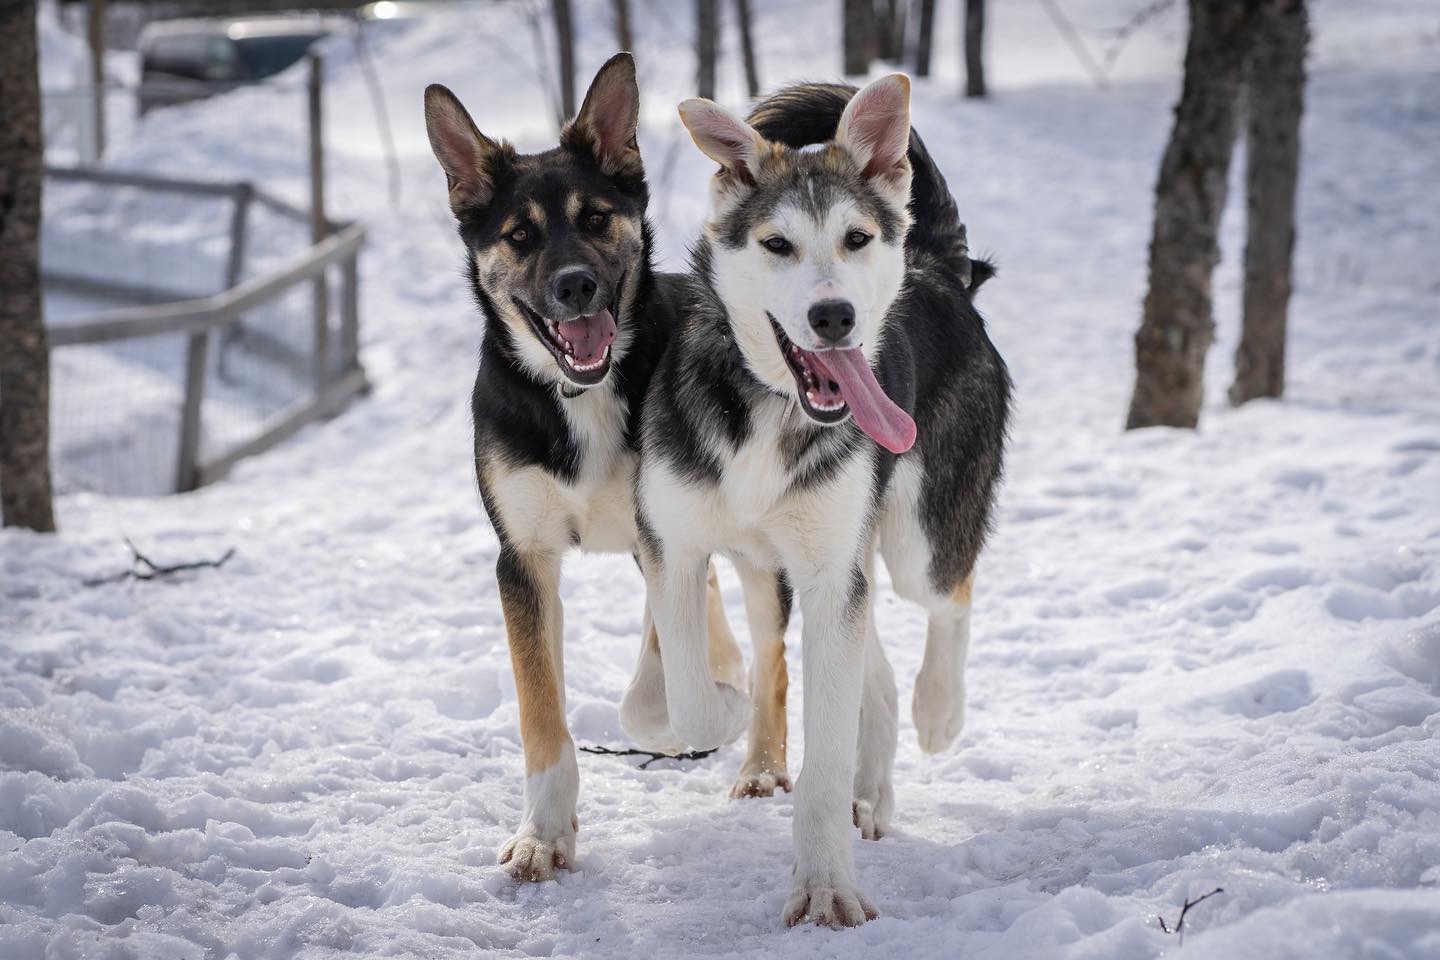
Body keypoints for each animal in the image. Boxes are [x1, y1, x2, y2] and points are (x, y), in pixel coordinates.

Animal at [420, 56, 748, 886]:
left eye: (597, 218)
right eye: (519, 235)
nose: (575, 286)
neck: (581, 393)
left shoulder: (662, 538)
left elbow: (656, 692)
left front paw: (720, 707)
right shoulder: (523, 559)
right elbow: (541, 712)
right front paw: (543, 834)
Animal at [636, 75, 1008, 921]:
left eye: (855, 239)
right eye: (777, 245)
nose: (833, 315)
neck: (773, 410)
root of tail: (936, 265)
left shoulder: (832, 572)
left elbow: (823, 757)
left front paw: (826, 887)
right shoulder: (674, 548)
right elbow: (690, 699)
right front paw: (730, 714)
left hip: (911, 542)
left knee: (950, 596)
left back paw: (938, 711)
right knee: (875, 668)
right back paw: (872, 791)